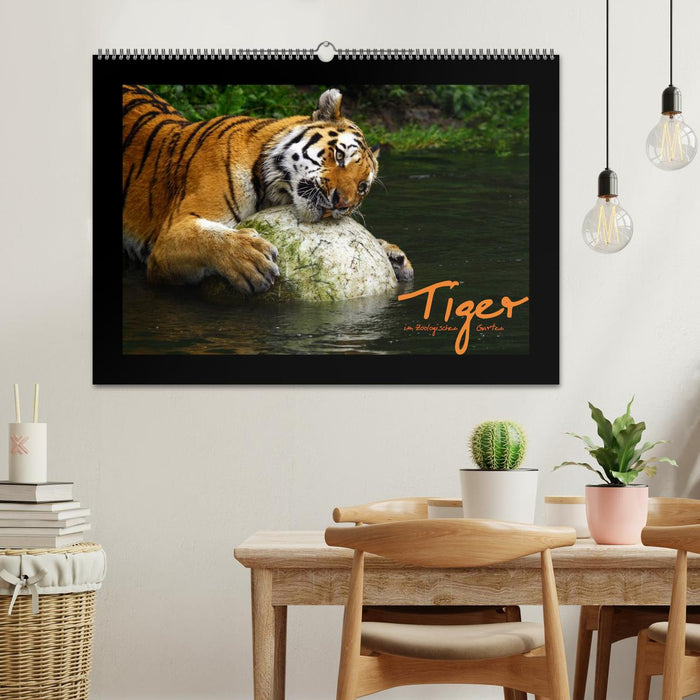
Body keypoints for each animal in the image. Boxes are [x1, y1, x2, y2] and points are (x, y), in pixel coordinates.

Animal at [122, 85, 413, 296]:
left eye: (362, 187)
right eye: (339, 156)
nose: (341, 203)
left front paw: (393, 256)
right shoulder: (168, 237)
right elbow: (207, 236)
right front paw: (250, 259)